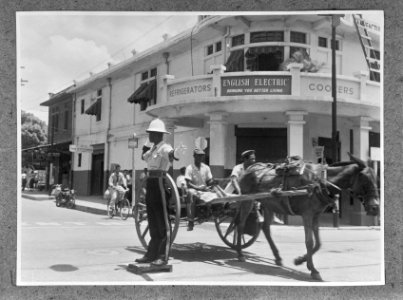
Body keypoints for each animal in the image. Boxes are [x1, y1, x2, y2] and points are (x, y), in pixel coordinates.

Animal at [237, 154, 378, 280]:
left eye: (376, 179)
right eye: (365, 179)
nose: (375, 208)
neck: (322, 182)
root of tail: (250, 168)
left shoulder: (316, 215)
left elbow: (319, 243)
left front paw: (300, 260)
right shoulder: (307, 215)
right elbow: (309, 242)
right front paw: (313, 270)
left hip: (269, 205)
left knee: (265, 227)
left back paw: (277, 257)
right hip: (247, 200)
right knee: (241, 224)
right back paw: (239, 253)